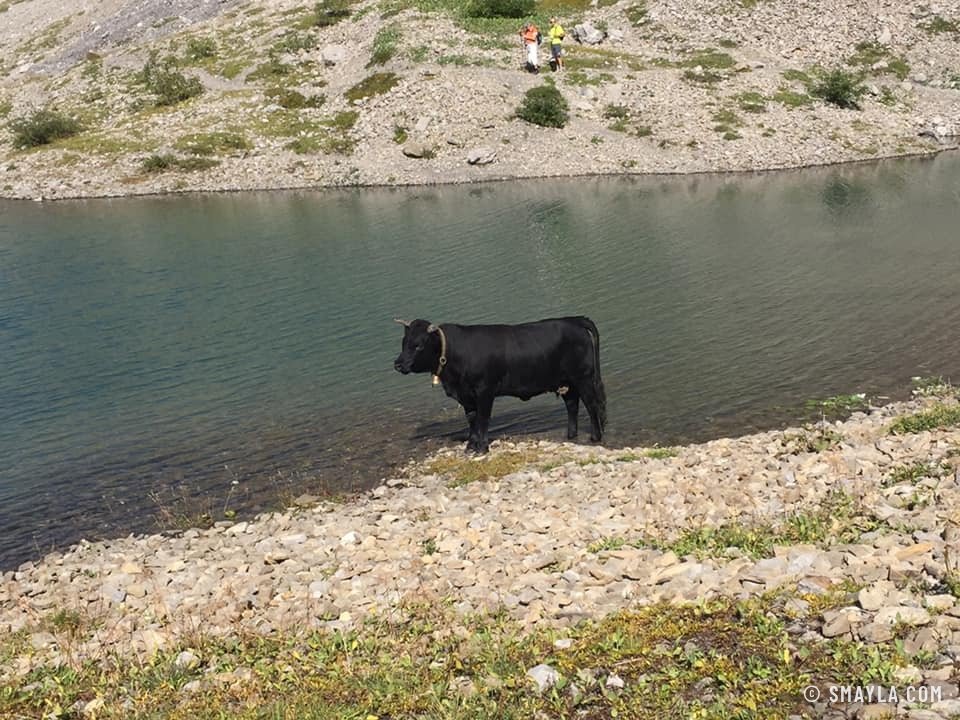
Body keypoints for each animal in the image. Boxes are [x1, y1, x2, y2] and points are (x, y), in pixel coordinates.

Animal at [393, 317, 606, 453]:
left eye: (418, 345)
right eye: (403, 342)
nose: (398, 364)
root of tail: (574, 321)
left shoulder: (485, 391)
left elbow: (483, 418)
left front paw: (482, 448)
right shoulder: (465, 396)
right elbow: (472, 419)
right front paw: (470, 446)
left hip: (583, 377)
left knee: (592, 405)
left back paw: (595, 437)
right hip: (566, 382)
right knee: (572, 405)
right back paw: (570, 435)